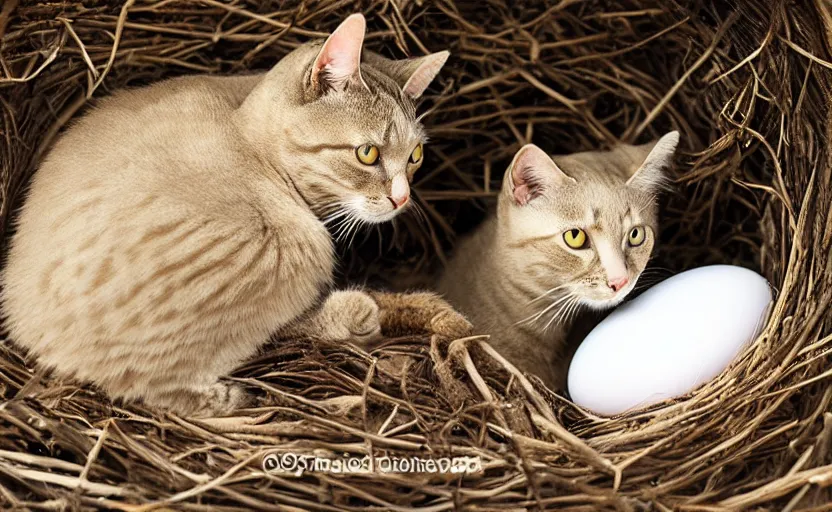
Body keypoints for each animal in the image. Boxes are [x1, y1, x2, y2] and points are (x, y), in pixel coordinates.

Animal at [0, 14, 468, 418]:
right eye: (368, 153)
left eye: (415, 156)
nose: (402, 199)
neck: (246, 130)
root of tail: (21, 320)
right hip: (290, 248)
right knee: (139, 379)